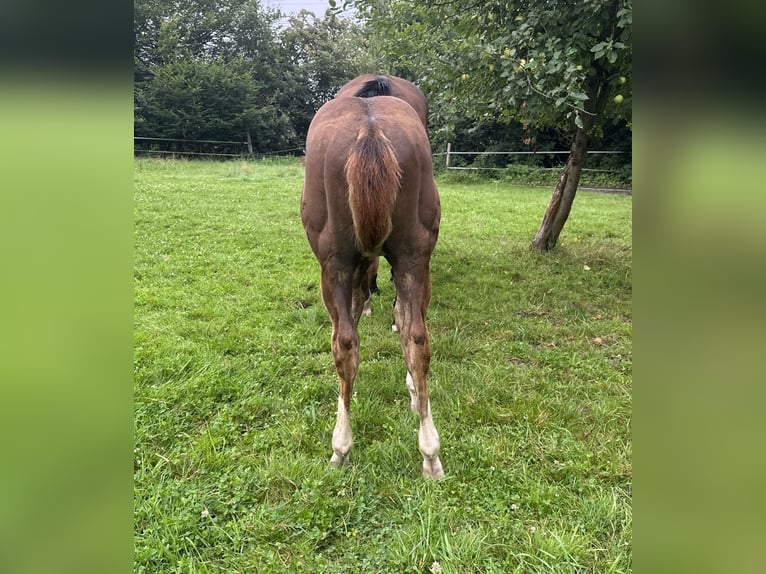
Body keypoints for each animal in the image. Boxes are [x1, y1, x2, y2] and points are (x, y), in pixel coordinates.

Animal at [300, 88, 444, 482]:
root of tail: (370, 129)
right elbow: (403, 324)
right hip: (414, 259)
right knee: (417, 339)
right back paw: (430, 454)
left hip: (333, 265)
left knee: (343, 342)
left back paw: (341, 447)